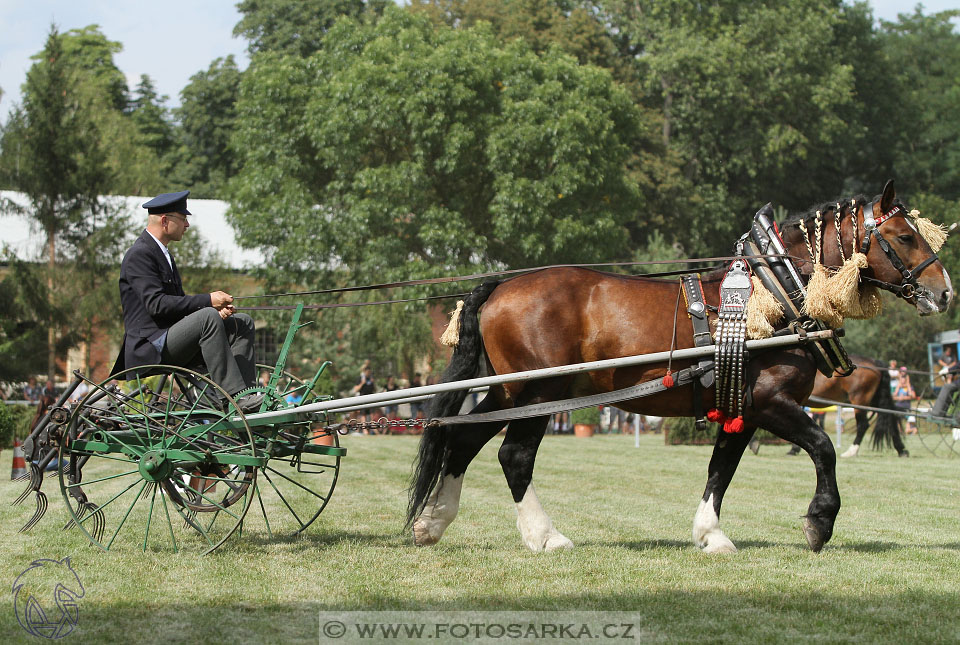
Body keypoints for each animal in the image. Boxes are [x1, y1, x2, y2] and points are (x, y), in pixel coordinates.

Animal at [406, 181, 952, 552]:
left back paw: (432, 522)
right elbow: (823, 448)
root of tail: (501, 285)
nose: (944, 292)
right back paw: (546, 536)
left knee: (462, 439)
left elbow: (721, 470)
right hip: (544, 393)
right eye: (904, 237)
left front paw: (711, 535)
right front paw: (820, 521)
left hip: (509, 391)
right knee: (513, 456)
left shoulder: (740, 406)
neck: (774, 293)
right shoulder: (771, 402)